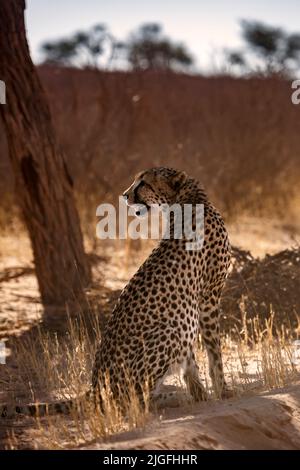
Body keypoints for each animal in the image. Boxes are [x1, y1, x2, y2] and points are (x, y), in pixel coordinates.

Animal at [1, 167, 232, 416]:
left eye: (143, 183)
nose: (124, 195)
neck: (187, 200)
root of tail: (94, 385)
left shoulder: (196, 304)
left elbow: (193, 362)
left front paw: (203, 394)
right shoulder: (209, 295)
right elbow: (214, 350)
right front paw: (223, 391)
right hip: (171, 331)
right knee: (129, 401)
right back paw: (175, 398)